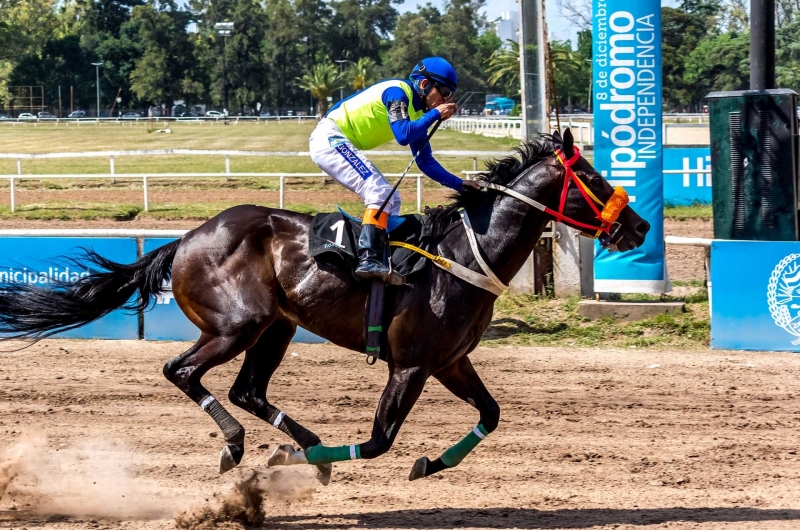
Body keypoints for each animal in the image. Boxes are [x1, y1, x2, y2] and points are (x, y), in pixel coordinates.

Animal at [0, 129, 648, 482]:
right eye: (593, 178)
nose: (639, 227)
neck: (464, 256)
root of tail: (184, 239)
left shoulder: (450, 361)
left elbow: (490, 415)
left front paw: (428, 463)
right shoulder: (411, 364)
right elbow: (380, 439)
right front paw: (296, 461)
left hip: (276, 328)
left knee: (247, 390)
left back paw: (299, 445)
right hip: (237, 325)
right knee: (181, 371)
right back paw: (242, 445)